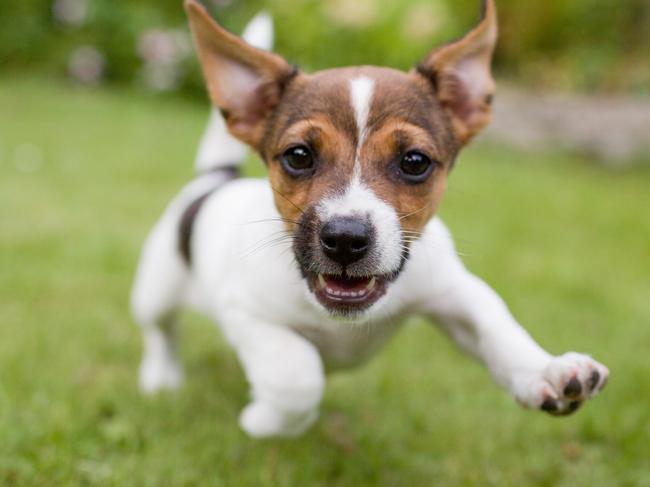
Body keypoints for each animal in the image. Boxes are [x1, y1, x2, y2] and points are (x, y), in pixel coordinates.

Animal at [130, 0, 608, 440]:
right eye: (298, 156)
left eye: (414, 161)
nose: (344, 239)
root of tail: (215, 178)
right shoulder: (246, 312)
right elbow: (298, 376)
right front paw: (263, 421)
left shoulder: (455, 292)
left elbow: (498, 327)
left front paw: (545, 370)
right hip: (156, 287)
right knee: (160, 331)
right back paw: (161, 377)